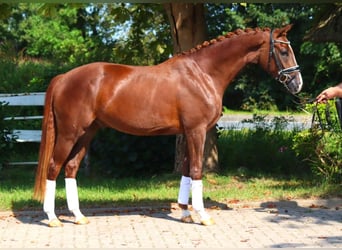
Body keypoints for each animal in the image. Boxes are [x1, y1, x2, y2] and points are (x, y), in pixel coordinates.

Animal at [34, 24, 302, 227]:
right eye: (282, 50)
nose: (297, 83)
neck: (202, 73)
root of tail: (64, 78)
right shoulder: (196, 131)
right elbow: (196, 170)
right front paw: (203, 216)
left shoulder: (188, 133)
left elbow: (186, 170)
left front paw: (184, 213)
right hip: (69, 133)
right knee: (54, 166)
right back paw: (53, 218)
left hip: (87, 133)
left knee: (71, 168)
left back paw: (78, 216)